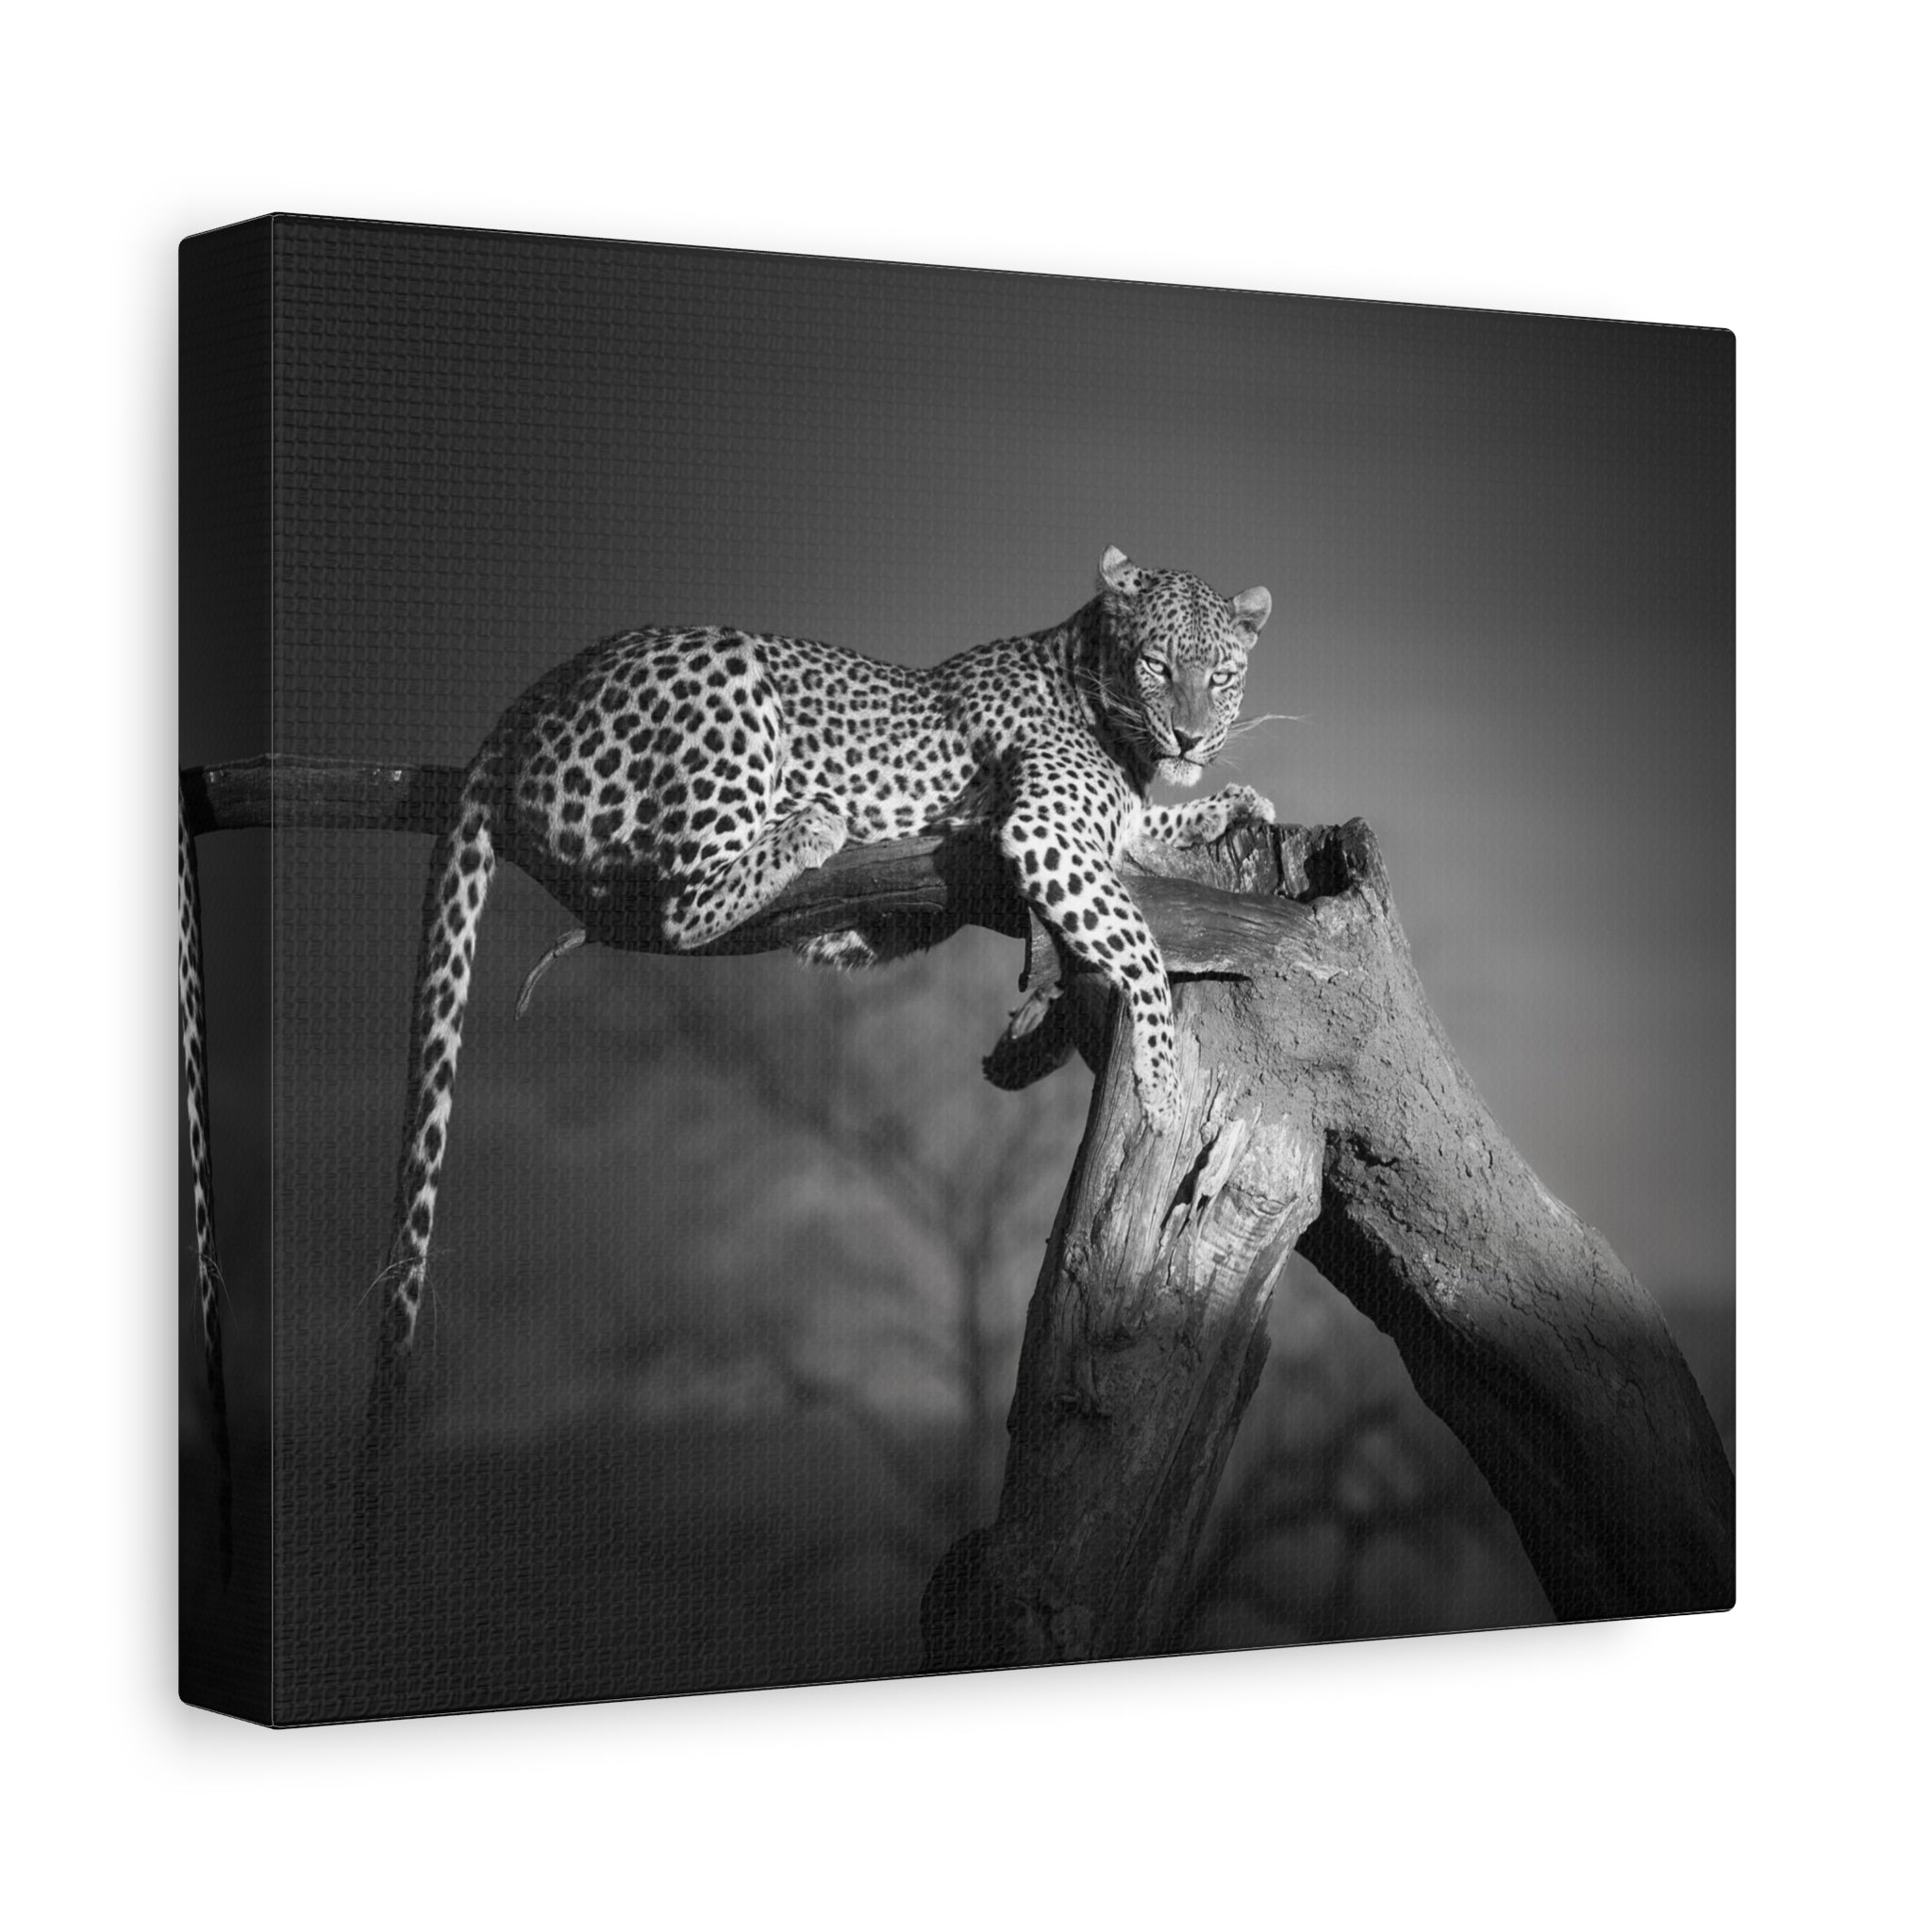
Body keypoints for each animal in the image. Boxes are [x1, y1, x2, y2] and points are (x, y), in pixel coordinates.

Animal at [368, 546, 1274, 1395]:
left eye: (1223, 676)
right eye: (1157, 665)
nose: (1192, 738)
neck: (1106, 705)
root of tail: (527, 701)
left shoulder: (1090, 837)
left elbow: (1150, 832)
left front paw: (1235, 804)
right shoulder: (1044, 831)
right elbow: (1140, 945)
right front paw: (1161, 1081)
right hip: (728, 679)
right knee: (679, 903)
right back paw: (810, 823)